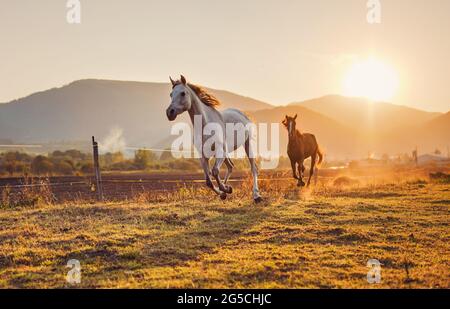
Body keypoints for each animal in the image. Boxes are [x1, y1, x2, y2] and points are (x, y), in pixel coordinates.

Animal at [167, 73, 262, 201]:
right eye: (171, 94)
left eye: (183, 93)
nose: (169, 112)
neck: (206, 124)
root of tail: (242, 114)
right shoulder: (203, 156)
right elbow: (208, 181)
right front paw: (224, 192)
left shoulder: (219, 152)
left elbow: (215, 171)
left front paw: (226, 189)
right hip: (226, 152)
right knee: (231, 166)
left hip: (246, 144)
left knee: (254, 168)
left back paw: (256, 195)